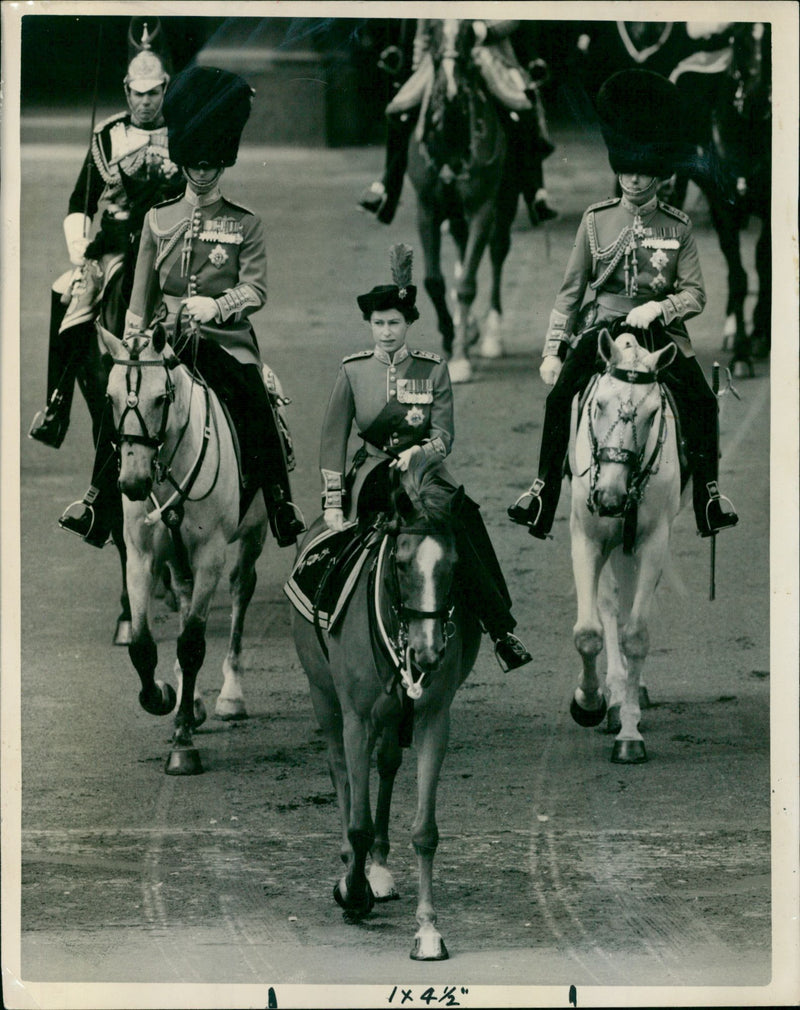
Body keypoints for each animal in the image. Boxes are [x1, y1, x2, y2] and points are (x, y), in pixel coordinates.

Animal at [98, 323, 268, 771]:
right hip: (178, 559)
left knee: (241, 591)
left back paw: (230, 694)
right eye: (110, 397)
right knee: (185, 594)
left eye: (162, 397)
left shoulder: (209, 555)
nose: (132, 483)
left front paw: (182, 741)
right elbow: (142, 644)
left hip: (253, 535)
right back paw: (190, 701)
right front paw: (163, 697)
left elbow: (192, 643)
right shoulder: (141, 556)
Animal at [569, 331, 682, 763]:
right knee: (609, 603)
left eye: (652, 414)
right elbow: (588, 632)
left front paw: (630, 734)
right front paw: (589, 703)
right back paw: (613, 698)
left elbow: (636, 635)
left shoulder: (652, 543)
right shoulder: (587, 538)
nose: (610, 496)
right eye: (600, 403)